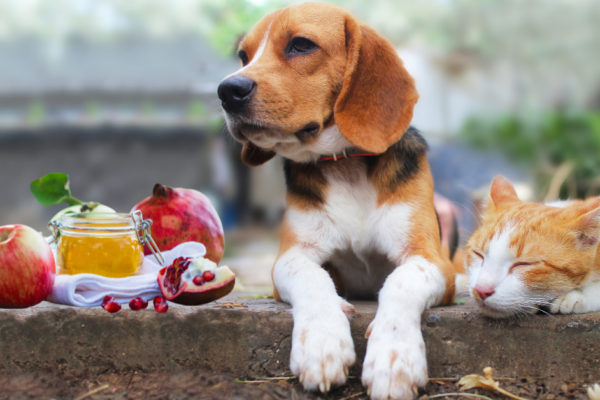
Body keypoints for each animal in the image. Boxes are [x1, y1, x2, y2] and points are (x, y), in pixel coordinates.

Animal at [219, 3, 460, 400]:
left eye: (301, 45)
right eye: (243, 56)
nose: (227, 90)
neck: (345, 164)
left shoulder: (431, 259)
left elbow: (401, 281)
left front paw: (394, 359)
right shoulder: (291, 256)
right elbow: (313, 278)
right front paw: (322, 343)